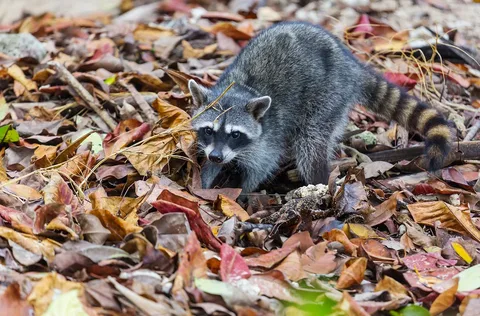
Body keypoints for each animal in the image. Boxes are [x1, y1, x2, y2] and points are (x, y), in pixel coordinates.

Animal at [188, 21, 454, 193]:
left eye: (235, 134)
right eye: (209, 130)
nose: (216, 156)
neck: (240, 91)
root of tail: (351, 66)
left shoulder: (268, 135)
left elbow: (262, 164)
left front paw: (244, 192)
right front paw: (206, 181)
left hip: (328, 96)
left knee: (311, 144)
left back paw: (319, 183)